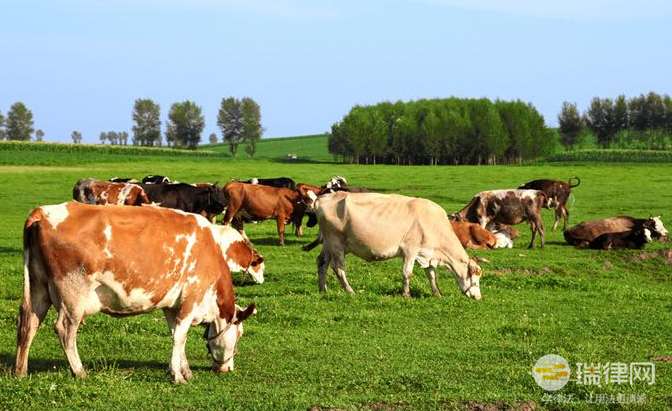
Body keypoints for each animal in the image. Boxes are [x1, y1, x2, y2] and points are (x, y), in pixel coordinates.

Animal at [15, 202, 258, 384]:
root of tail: (42, 212)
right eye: (239, 334)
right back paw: (80, 371)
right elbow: (181, 336)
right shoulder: (191, 297)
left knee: (29, 322)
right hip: (72, 295)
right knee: (64, 329)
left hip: (38, 287)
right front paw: (178, 376)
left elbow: (176, 336)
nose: (227, 368)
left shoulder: (172, 305)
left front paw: (184, 370)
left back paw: (21, 371)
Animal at [304, 192, 484, 300]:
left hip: (329, 244)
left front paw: (437, 293)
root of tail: (322, 198)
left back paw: (323, 290)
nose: (478, 297)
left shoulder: (427, 253)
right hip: (336, 244)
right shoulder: (410, 250)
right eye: (475, 277)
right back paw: (350, 291)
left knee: (322, 263)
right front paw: (406, 294)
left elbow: (431, 274)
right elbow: (407, 273)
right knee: (338, 268)